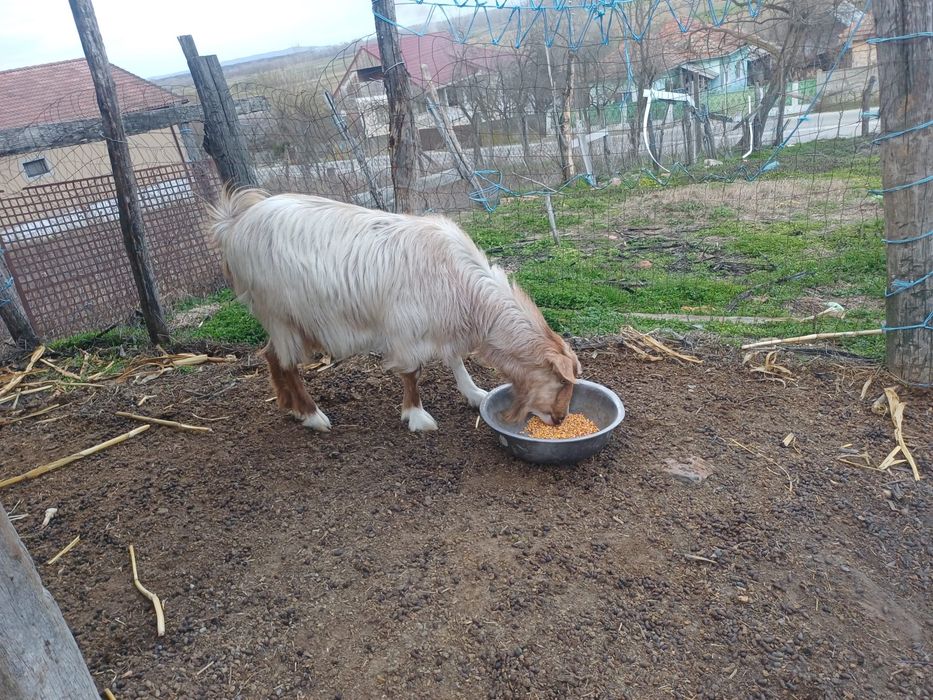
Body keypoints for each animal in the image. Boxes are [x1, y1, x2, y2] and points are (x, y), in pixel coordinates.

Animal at [209, 189, 581, 432]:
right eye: (561, 382)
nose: (561, 419)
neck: (462, 284)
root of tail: (235, 224)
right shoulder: (405, 328)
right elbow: (412, 373)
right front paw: (417, 417)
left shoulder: (442, 323)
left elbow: (455, 360)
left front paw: (475, 394)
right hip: (281, 313)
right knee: (287, 363)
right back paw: (313, 417)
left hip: (288, 320)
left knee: (270, 355)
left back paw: (289, 407)